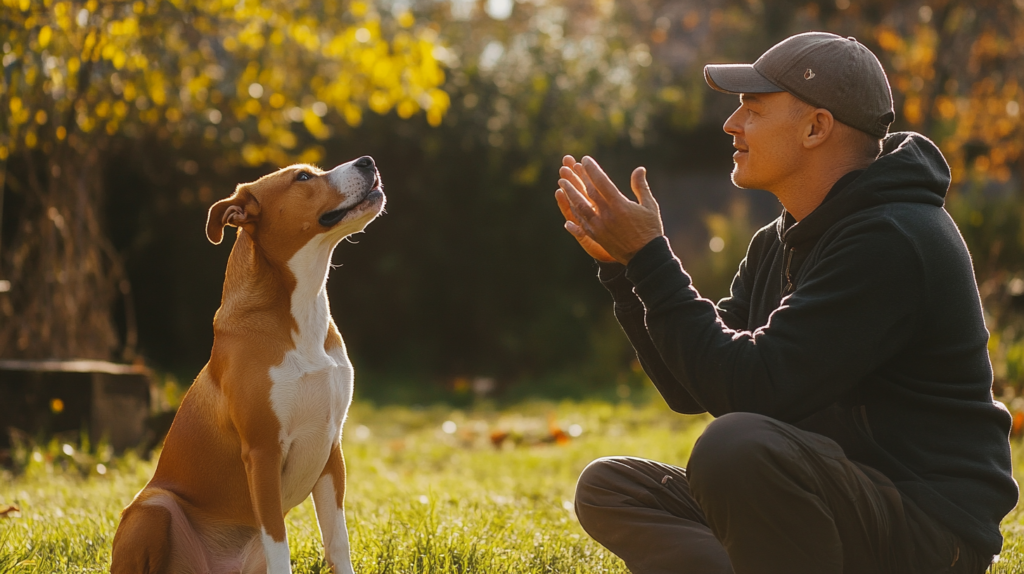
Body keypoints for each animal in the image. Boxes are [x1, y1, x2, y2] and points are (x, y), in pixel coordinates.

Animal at [110, 156, 385, 572]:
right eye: (302, 177)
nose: (367, 161)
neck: (300, 311)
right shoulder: (263, 452)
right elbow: (279, 545)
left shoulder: (331, 448)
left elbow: (338, 541)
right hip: (154, 507)